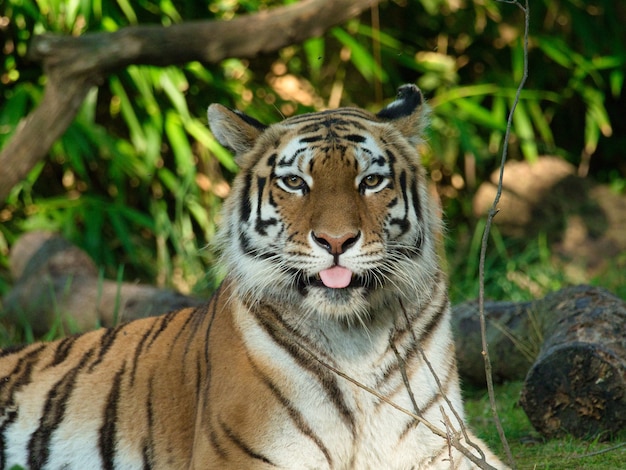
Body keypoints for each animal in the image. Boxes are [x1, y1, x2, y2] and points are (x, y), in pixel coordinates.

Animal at [0, 84, 504, 470]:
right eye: (296, 183)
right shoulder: (244, 456)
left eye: (371, 182)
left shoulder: (444, 443)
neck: (354, 336)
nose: (336, 241)